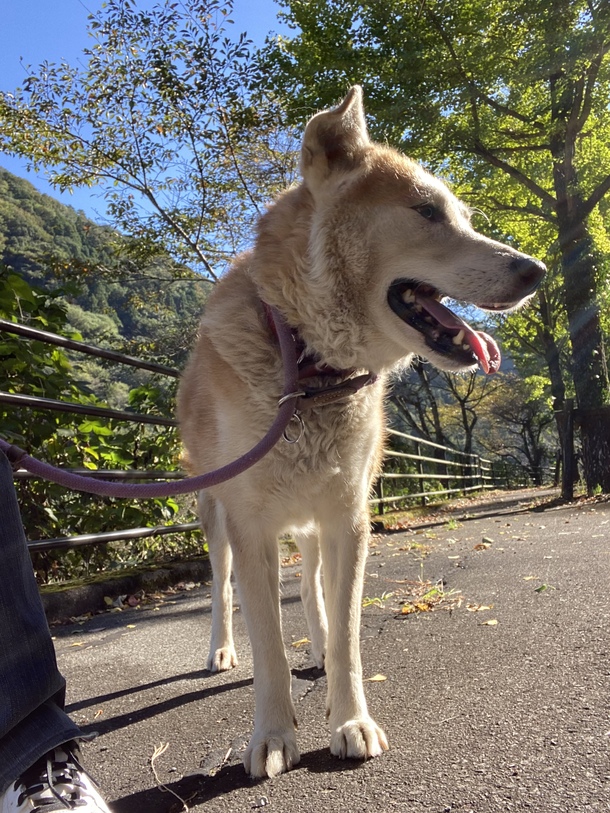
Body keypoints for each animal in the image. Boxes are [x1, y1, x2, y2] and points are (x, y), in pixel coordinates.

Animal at [176, 85, 540, 776]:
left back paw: (315, 646)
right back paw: (218, 649)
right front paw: (272, 734)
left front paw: (349, 720)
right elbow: (267, 644)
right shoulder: (249, 522)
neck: (308, 366)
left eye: (463, 215)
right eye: (426, 211)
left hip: (316, 511)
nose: (535, 270)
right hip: (214, 511)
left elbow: (346, 632)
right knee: (221, 585)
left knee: (313, 583)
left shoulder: (347, 513)